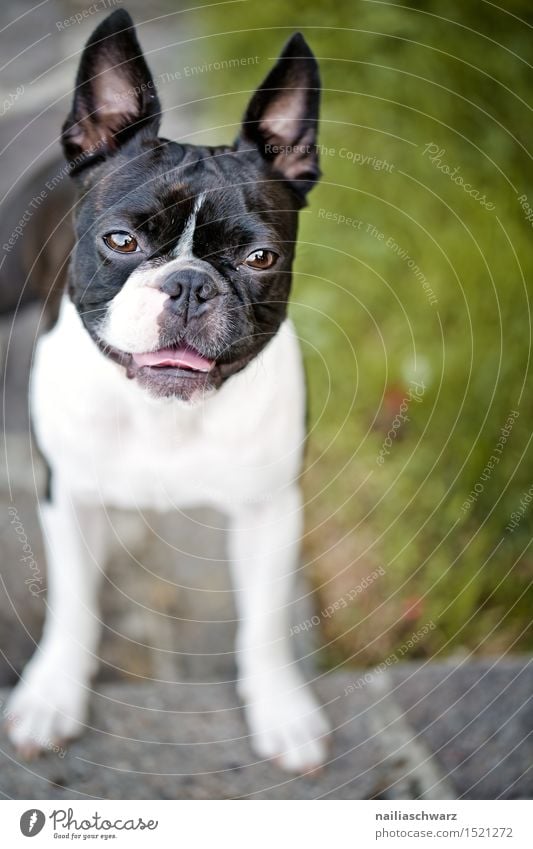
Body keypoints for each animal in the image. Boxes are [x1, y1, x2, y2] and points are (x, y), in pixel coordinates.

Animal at [6, 8, 328, 776]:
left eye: (260, 258)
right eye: (121, 240)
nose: (187, 284)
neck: (161, 413)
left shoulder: (270, 510)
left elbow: (265, 621)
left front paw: (280, 708)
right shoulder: (68, 496)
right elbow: (73, 604)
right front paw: (51, 694)